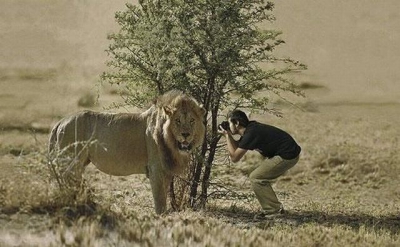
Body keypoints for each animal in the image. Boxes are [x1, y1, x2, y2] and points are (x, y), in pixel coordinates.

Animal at [49, 90, 206, 214]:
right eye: (178, 120)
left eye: (192, 121)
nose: (185, 134)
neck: (171, 143)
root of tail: (60, 122)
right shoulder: (155, 170)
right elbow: (160, 201)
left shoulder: (166, 172)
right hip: (70, 162)